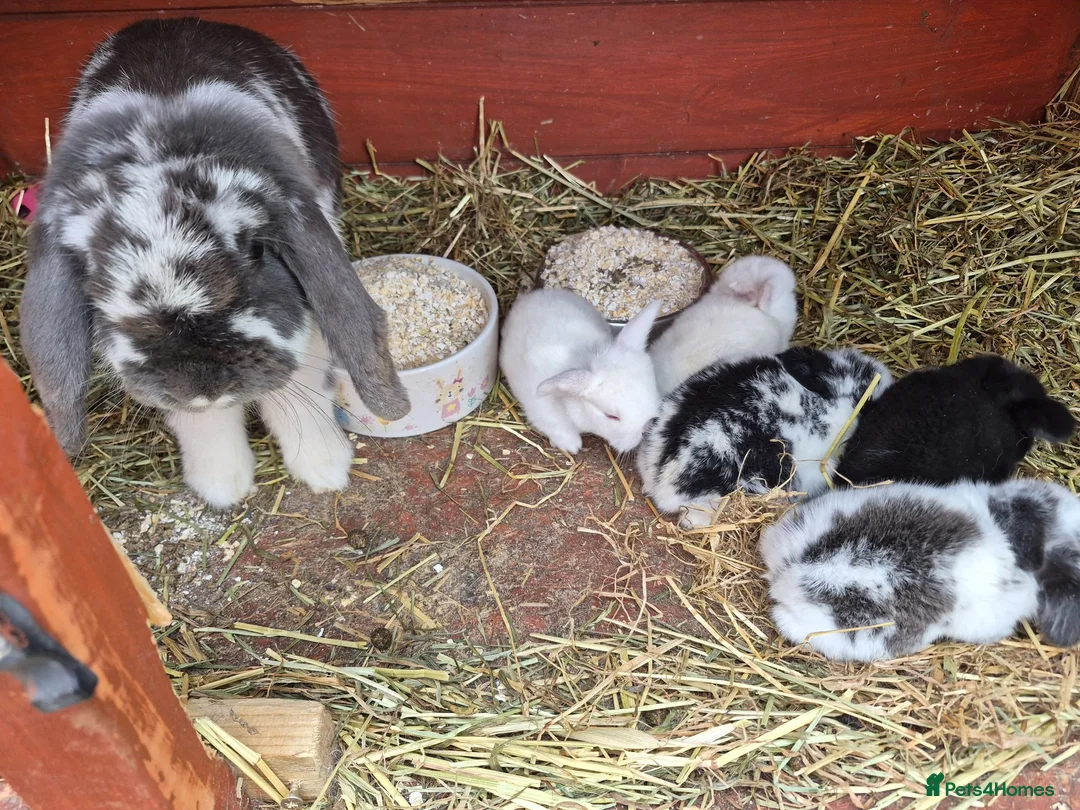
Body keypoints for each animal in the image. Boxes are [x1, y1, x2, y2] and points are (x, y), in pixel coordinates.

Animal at [19, 18, 409, 509]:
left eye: (255, 252)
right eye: (96, 282)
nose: (205, 387)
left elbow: (298, 393)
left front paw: (324, 469)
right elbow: (204, 424)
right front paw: (222, 485)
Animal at [499, 288, 661, 454]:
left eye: (653, 389)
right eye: (611, 416)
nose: (647, 426)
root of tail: (528, 297)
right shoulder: (541, 409)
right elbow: (556, 427)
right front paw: (572, 445)